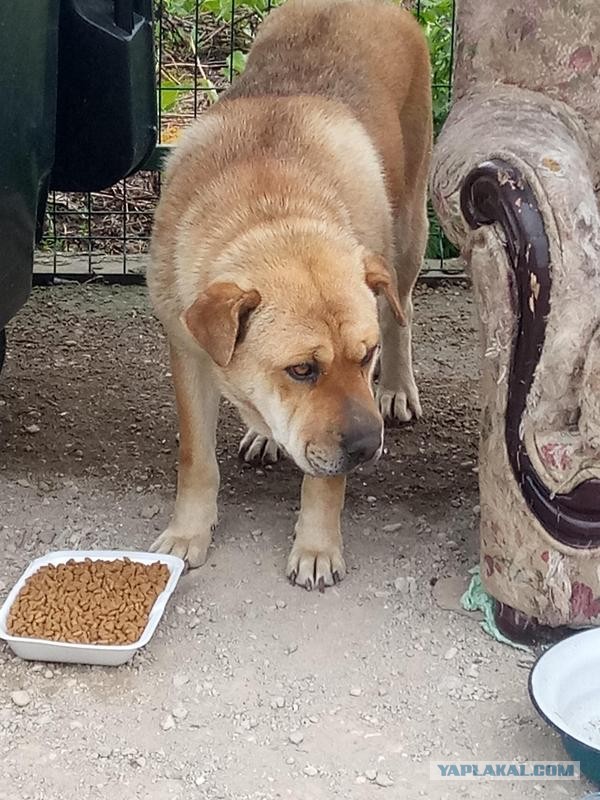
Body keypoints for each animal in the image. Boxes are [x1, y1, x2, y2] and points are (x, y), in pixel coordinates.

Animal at [148, 0, 434, 588]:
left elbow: (324, 478)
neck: (272, 210)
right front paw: (189, 532)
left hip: (411, 232)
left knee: (402, 310)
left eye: (365, 358)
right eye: (302, 370)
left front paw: (318, 545)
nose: (369, 447)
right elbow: (196, 459)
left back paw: (398, 387)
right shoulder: (188, 353)